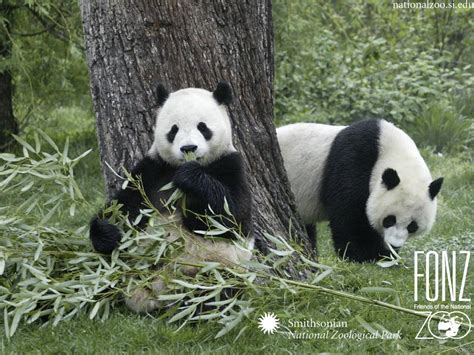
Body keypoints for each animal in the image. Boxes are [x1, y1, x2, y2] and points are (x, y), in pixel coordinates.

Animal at [88, 82, 252, 312]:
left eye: (202, 127)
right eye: (174, 130)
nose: (189, 148)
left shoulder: (231, 165)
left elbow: (231, 217)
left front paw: (190, 178)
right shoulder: (151, 171)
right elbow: (123, 205)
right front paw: (107, 231)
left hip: (215, 266)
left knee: (217, 292)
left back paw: (194, 308)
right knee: (99, 275)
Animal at [276, 118, 442, 262]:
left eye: (412, 226)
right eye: (390, 219)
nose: (394, 244)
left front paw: (386, 254)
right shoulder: (354, 159)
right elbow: (349, 213)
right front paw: (365, 255)